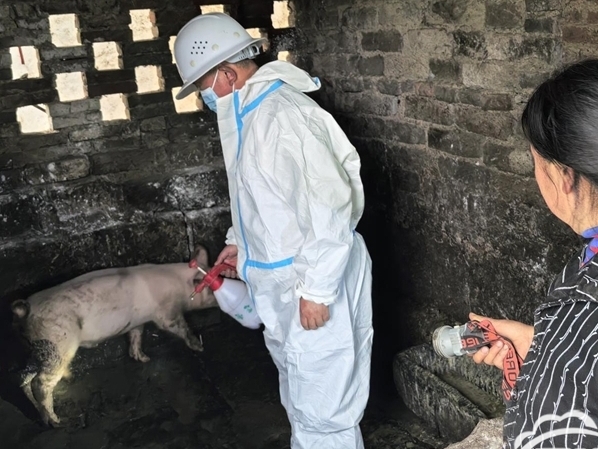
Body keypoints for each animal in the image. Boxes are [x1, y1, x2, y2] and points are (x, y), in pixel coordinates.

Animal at [11, 246, 217, 427]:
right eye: (213, 290)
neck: (180, 286)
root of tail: (26, 311)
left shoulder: (138, 322)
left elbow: (136, 335)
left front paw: (143, 358)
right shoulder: (166, 314)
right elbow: (180, 327)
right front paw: (199, 346)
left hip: (37, 348)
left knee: (23, 377)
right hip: (57, 345)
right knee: (40, 382)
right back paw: (56, 422)